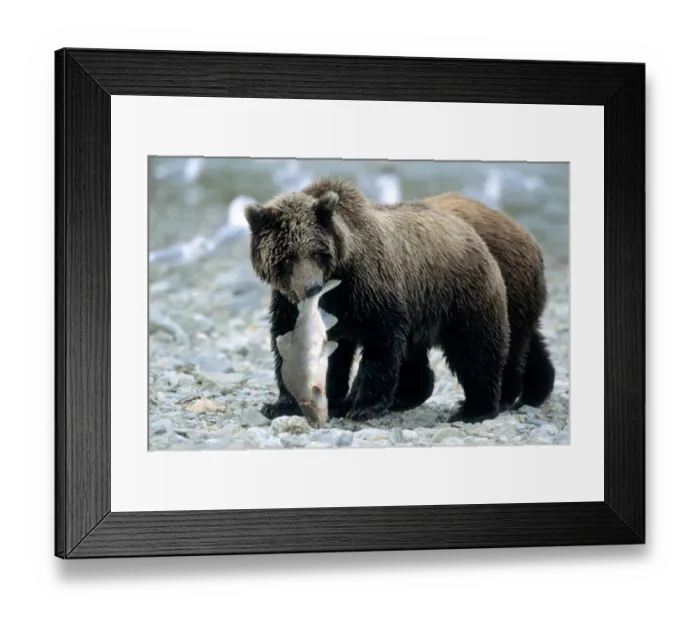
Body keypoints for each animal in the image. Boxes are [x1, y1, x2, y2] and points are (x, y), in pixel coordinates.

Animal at [243, 177, 510, 423]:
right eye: (287, 257)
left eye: (317, 253)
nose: (312, 287)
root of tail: (470, 229)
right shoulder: (289, 302)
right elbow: (289, 342)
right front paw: (280, 404)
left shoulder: (370, 287)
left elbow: (381, 341)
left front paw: (363, 407)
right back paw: (408, 396)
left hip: (461, 296)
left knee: (475, 350)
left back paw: (475, 409)